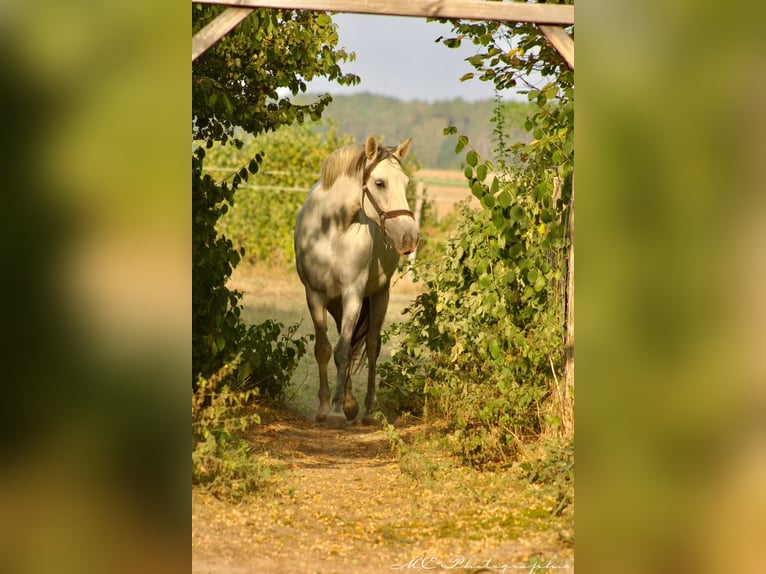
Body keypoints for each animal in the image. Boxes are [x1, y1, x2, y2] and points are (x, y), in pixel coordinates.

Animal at [296, 136, 424, 428]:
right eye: (380, 183)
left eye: (406, 183)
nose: (410, 237)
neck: (332, 228)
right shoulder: (315, 295)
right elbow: (324, 349)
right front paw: (325, 408)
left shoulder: (353, 293)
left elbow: (343, 351)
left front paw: (336, 409)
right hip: (335, 305)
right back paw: (350, 402)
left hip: (379, 296)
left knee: (372, 346)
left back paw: (366, 409)